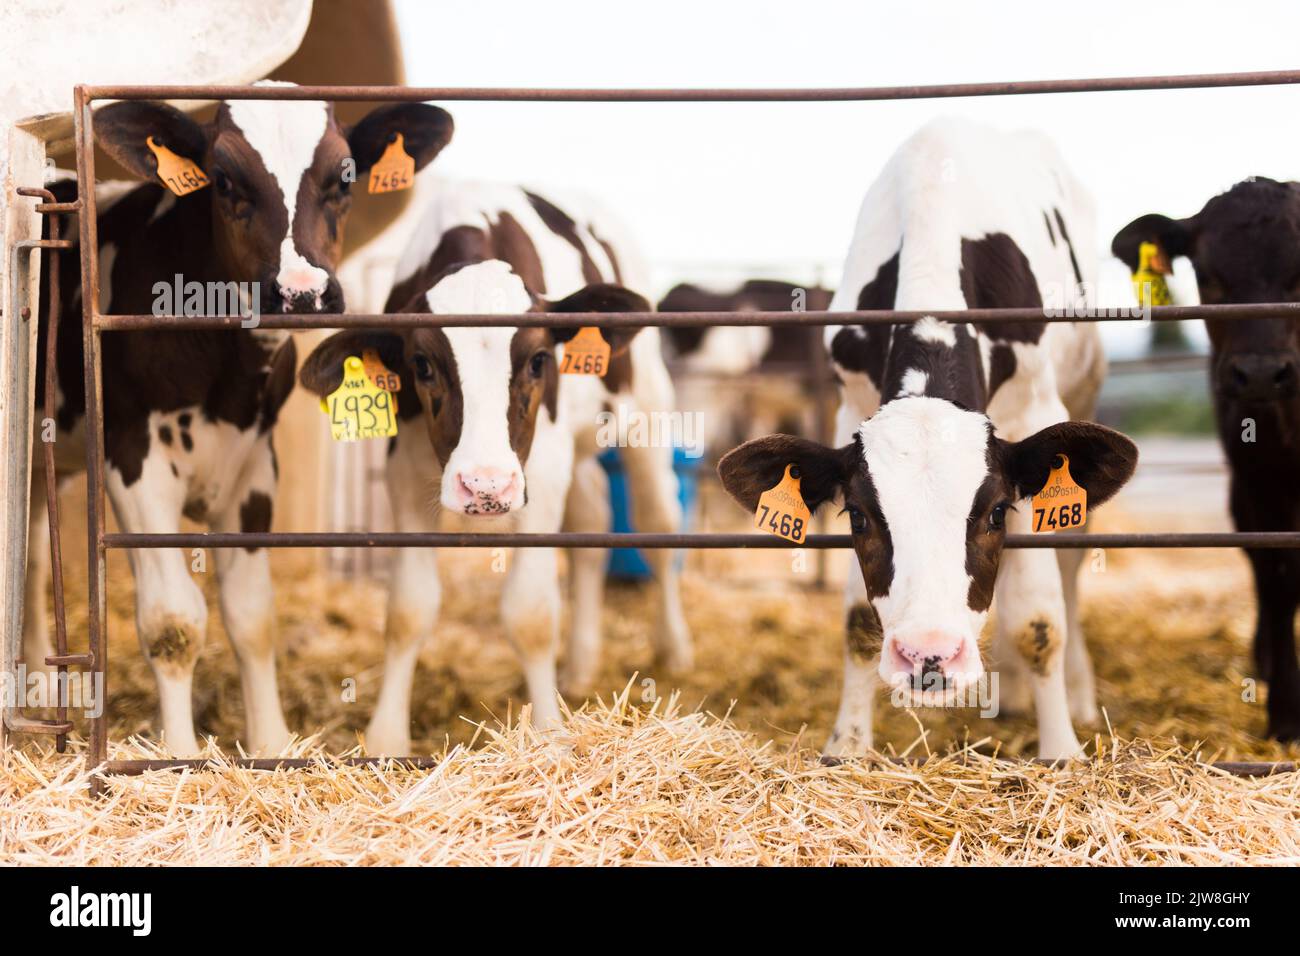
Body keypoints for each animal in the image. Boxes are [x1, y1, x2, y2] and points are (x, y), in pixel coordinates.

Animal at [24, 82, 452, 756]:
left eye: (345, 174)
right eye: (223, 179)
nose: (301, 293)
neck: (226, 374)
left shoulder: (256, 464)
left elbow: (252, 616)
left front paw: (271, 745)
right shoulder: (133, 456)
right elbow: (173, 620)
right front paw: (176, 753)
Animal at [297, 181, 689, 755]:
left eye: (538, 361)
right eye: (422, 365)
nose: (486, 484)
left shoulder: (539, 475)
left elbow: (531, 614)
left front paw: (547, 731)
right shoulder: (405, 472)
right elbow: (408, 610)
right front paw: (387, 738)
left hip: (647, 414)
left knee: (659, 524)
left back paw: (673, 649)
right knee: (592, 524)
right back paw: (580, 666)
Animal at [717, 118, 1138, 759]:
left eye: (995, 512)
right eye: (858, 517)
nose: (930, 656)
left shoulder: (1035, 411)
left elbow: (1039, 622)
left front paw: (1061, 750)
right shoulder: (848, 408)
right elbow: (857, 623)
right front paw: (848, 746)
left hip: (1081, 397)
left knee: (1065, 567)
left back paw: (1076, 694)